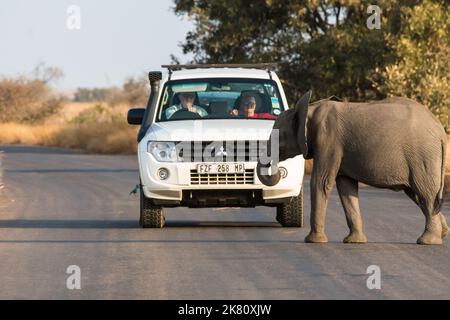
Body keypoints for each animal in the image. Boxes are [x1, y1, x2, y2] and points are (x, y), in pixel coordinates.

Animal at [258, 92, 448, 245]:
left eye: (279, 138)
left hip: (422, 156)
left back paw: (428, 241)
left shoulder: (328, 140)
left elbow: (321, 182)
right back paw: (443, 233)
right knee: (419, 195)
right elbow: (346, 189)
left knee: (425, 193)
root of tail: (441, 130)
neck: (310, 109)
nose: (278, 172)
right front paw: (354, 241)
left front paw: (313, 241)